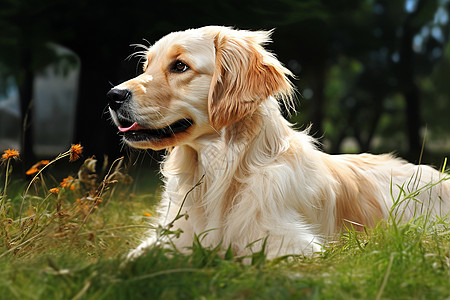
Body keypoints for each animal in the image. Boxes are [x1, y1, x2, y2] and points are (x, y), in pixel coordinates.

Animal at [108, 27, 450, 258]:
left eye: (180, 66)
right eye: (146, 67)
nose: (113, 96)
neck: (220, 173)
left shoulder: (290, 243)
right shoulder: (170, 238)